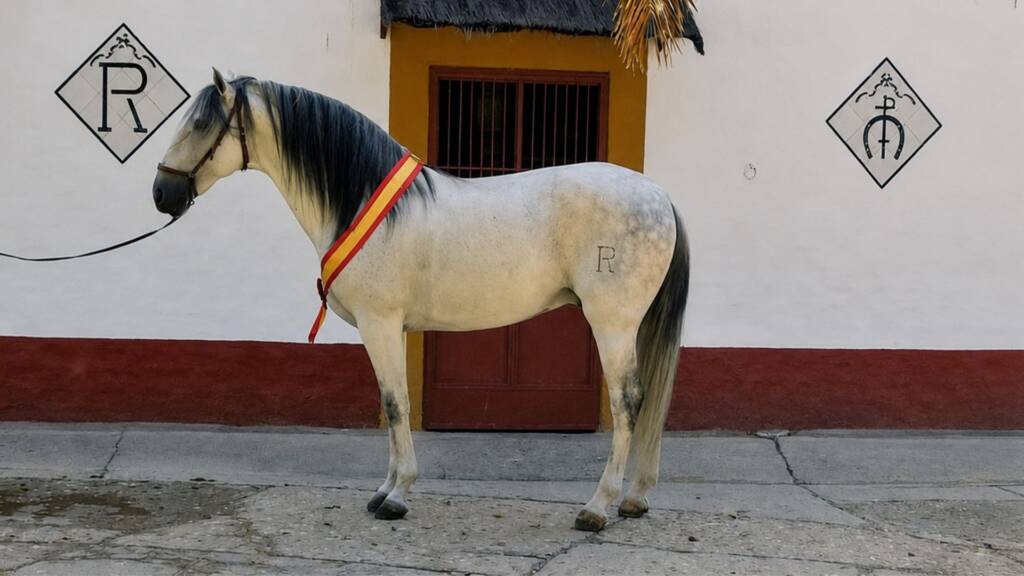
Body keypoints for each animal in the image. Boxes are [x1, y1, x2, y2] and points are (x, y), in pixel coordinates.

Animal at [152, 69, 689, 532]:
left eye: (200, 124)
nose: (162, 193)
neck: (360, 202)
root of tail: (659, 195)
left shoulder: (380, 322)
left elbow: (395, 404)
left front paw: (396, 496)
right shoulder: (390, 329)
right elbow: (391, 402)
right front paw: (384, 490)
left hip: (613, 323)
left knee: (627, 403)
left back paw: (597, 507)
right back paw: (634, 498)